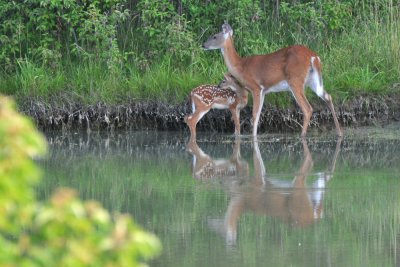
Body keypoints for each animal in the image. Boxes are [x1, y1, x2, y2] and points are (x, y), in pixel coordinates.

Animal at [203, 22, 344, 138]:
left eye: (214, 36)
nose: (203, 44)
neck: (241, 66)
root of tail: (313, 57)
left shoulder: (256, 87)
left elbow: (254, 115)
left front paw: (252, 137)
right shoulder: (264, 91)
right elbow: (258, 114)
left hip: (295, 80)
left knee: (307, 108)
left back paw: (302, 135)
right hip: (313, 80)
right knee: (327, 96)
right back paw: (339, 133)